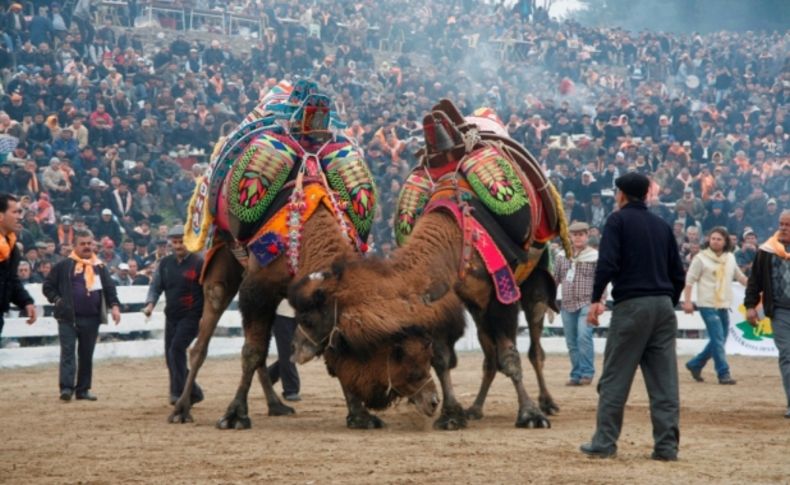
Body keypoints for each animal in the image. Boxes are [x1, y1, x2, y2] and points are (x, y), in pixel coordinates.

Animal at [290, 98, 568, 428]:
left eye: (310, 318)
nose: (297, 349)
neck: (453, 240)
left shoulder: (502, 295)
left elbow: (510, 356)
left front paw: (529, 414)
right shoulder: (444, 300)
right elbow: (442, 358)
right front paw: (451, 414)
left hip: (534, 275)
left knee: (534, 343)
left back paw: (547, 402)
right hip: (478, 306)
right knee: (489, 355)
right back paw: (476, 407)